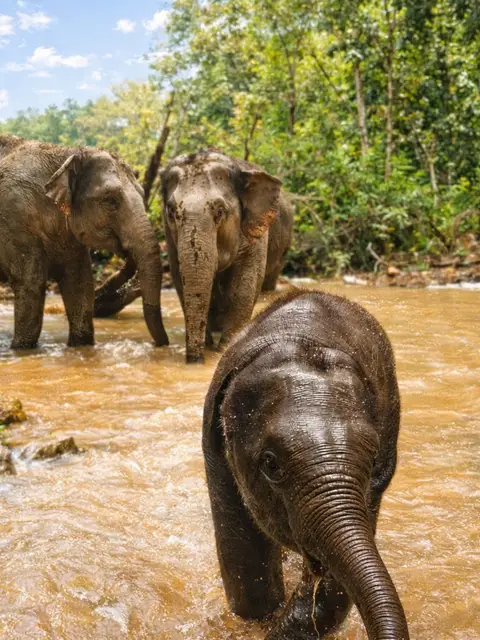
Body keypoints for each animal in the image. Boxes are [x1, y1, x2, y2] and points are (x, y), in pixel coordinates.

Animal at [0, 135, 169, 349]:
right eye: (111, 201)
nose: (160, 344)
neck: (66, 153)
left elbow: (80, 283)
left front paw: (80, 346)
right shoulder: (14, 219)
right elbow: (31, 282)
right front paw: (20, 348)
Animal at [162, 150, 293, 363]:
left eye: (220, 211)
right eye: (172, 212)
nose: (195, 361)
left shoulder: (256, 231)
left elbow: (243, 287)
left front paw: (224, 349)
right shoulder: (170, 240)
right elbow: (179, 281)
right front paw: (209, 346)